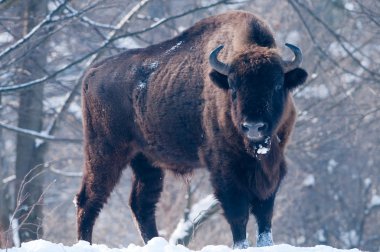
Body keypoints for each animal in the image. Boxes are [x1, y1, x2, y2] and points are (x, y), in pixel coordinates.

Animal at [75, 10, 308, 249]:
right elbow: (238, 213)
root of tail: (91, 73)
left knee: (141, 204)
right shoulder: (225, 169)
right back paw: (85, 243)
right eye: (233, 86)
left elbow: (264, 213)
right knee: (89, 199)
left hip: (145, 161)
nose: (253, 126)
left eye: (277, 85)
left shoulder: (271, 167)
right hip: (104, 152)